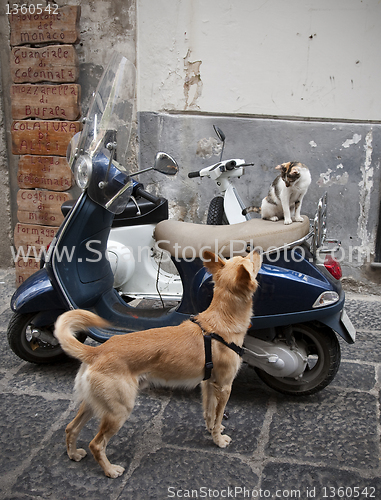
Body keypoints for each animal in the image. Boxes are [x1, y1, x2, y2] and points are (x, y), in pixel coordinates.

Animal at [54, 250, 262, 476]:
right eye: (250, 261)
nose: (256, 250)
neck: (220, 322)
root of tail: (96, 351)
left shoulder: (208, 383)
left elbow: (209, 412)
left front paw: (211, 429)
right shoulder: (224, 386)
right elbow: (218, 416)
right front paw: (218, 440)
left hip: (95, 403)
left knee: (71, 427)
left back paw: (73, 454)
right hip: (118, 410)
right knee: (96, 444)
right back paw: (110, 470)